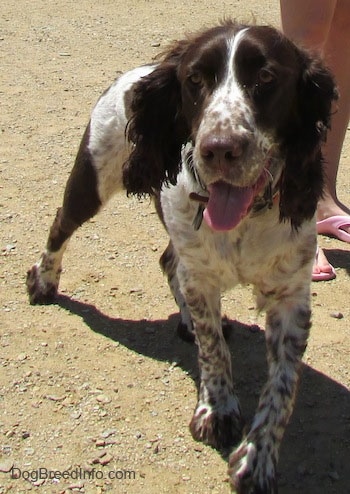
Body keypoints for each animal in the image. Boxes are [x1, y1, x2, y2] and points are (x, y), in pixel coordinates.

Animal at [27, 20, 336, 494]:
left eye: (266, 78)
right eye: (194, 80)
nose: (220, 148)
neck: (245, 217)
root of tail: (145, 69)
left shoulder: (291, 296)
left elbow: (282, 388)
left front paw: (256, 459)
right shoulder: (203, 277)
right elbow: (214, 352)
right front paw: (218, 411)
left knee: (169, 262)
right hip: (93, 177)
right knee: (62, 224)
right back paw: (43, 281)